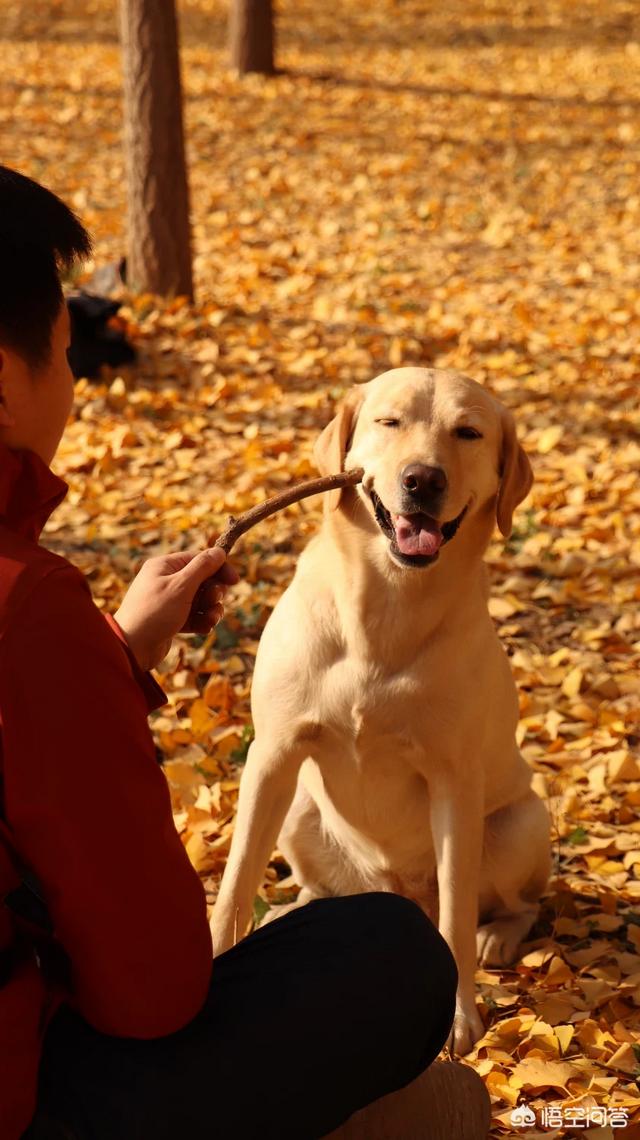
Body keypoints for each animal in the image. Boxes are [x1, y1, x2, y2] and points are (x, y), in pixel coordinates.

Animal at [209, 364, 549, 1048]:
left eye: (468, 433)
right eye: (388, 422)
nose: (423, 479)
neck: (387, 604)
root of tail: (397, 895)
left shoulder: (454, 783)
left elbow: (455, 916)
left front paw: (459, 1016)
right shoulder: (272, 755)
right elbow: (232, 884)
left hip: (521, 822)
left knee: (510, 905)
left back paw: (497, 937)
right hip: (298, 810)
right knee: (317, 889)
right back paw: (290, 911)